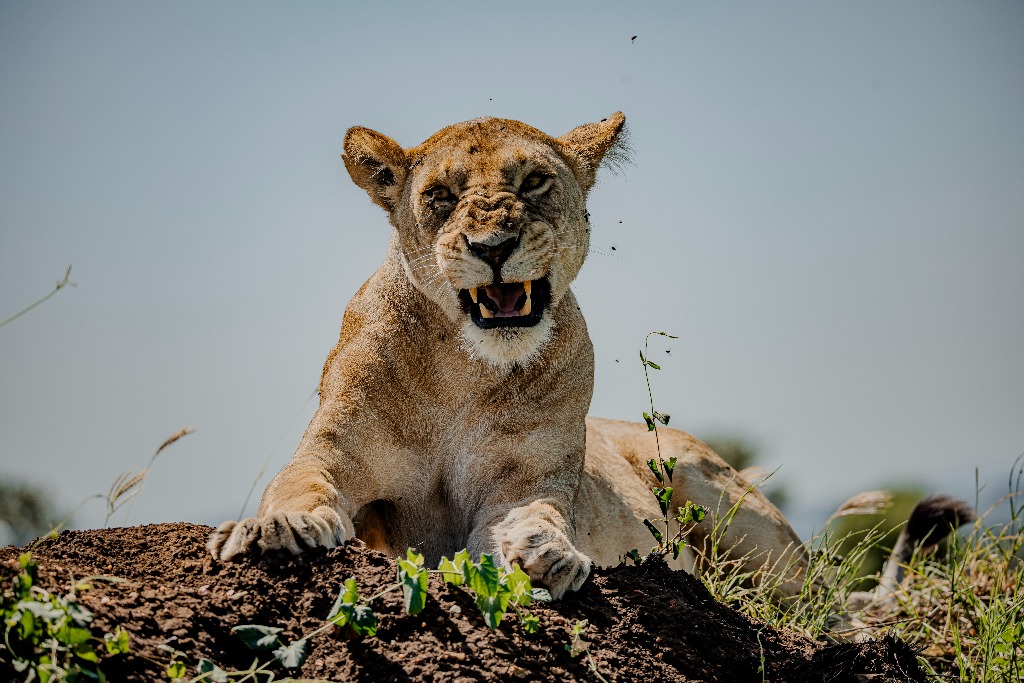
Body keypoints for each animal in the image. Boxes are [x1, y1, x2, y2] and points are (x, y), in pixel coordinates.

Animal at [205, 114, 847, 599]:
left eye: (535, 180)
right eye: (440, 196)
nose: (493, 247)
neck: (462, 372)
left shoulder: (528, 479)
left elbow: (530, 515)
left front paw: (546, 553)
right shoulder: (336, 452)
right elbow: (302, 483)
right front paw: (278, 528)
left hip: (731, 507)